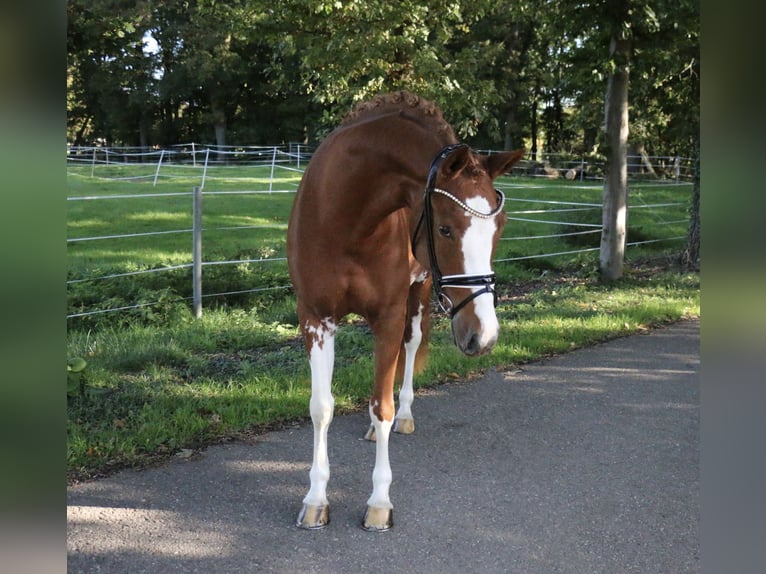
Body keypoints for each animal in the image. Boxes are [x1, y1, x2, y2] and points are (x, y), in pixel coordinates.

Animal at [288, 92, 528, 532]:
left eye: (499, 228)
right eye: (446, 228)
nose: (484, 336)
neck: (345, 217)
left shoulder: (389, 315)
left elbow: (382, 404)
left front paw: (379, 502)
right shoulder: (315, 318)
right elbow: (321, 408)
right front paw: (315, 500)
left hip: (415, 297)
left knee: (409, 350)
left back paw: (404, 416)